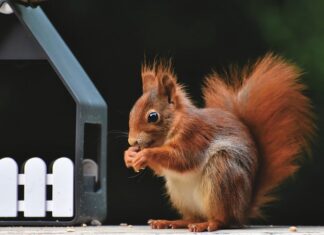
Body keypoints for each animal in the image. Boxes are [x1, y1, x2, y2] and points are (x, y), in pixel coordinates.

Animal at [123, 53, 314, 231]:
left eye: (153, 116)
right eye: (132, 112)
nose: (132, 141)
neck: (176, 124)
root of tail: (242, 210)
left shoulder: (194, 135)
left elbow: (181, 158)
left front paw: (145, 154)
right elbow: (163, 168)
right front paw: (129, 155)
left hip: (222, 175)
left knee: (223, 219)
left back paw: (208, 224)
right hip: (180, 194)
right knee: (193, 217)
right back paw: (170, 222)